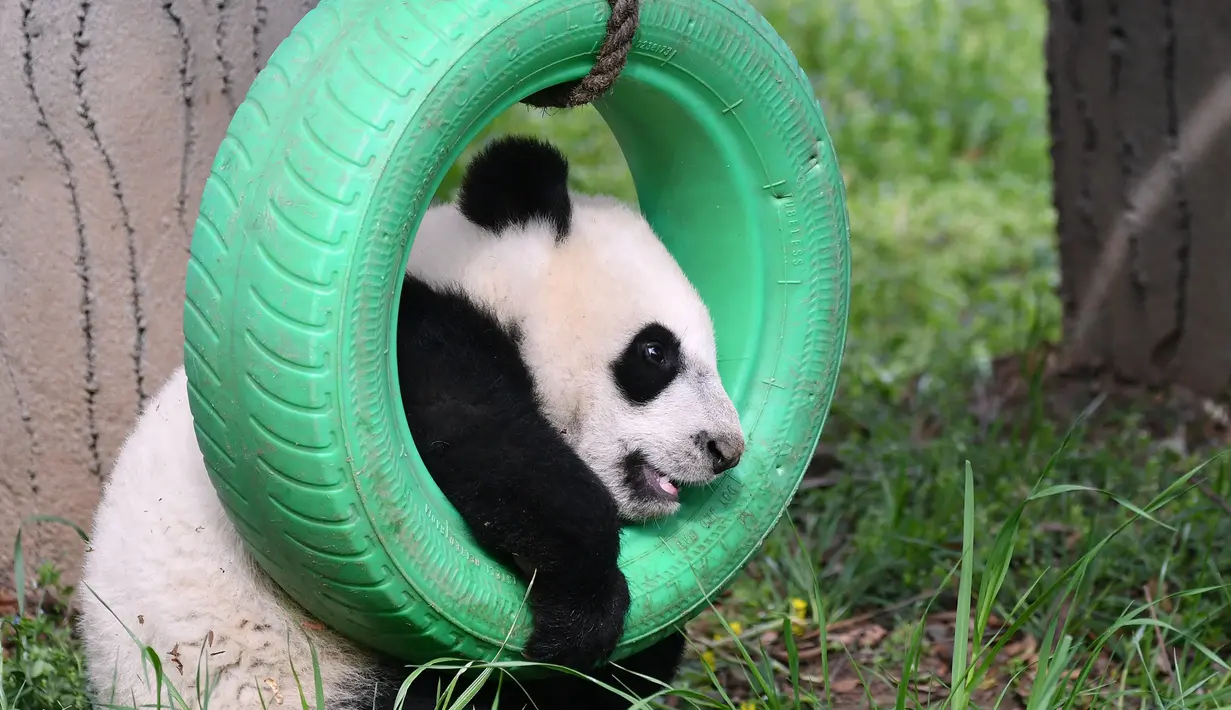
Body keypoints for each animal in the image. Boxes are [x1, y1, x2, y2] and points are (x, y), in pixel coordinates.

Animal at [76, 134, 746, 709]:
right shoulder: (410, 348)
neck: (482, 279)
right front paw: (585, 608)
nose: (726, 449)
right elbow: (482, 441)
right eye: (655, 351)